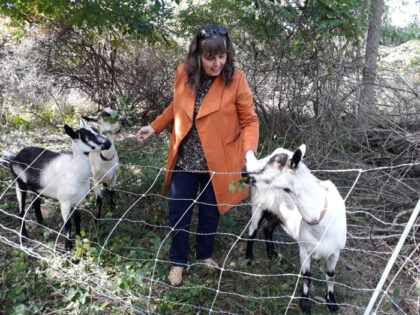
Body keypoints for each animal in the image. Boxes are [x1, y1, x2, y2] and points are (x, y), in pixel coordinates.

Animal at [0, 119, 111, 251]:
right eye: (86, 137)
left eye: (96, 130)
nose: (108, 143)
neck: (74, 172)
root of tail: (15, 157)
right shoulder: (64, 201)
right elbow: (67, 224)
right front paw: (68, 246)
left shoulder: (79, 200)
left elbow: (77, 220)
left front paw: (78, 238)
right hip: (19, 183)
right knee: (21, 211)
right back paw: (25, 236)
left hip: (38, 188)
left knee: (36, 203)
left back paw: (42, 224)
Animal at [243, 146, 348, 314]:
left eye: (275, 163)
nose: (244, 171)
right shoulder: (304, 249)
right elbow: (307, 276)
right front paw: (305, 303)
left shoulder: (335, 252)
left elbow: (331, 275)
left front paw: (331, 302)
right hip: (258, 206)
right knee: (253, 230)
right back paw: (249, 257)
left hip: (277, 213)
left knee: (267, 229)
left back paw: (273, 254)